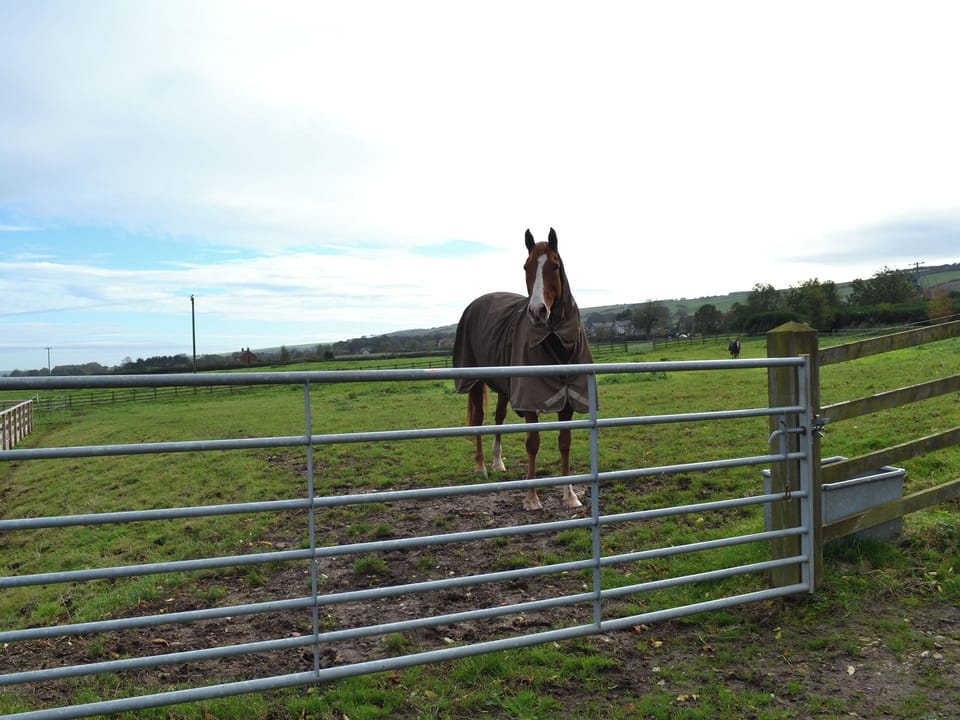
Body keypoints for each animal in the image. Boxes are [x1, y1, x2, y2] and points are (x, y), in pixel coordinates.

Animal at [452, 228, 594, 510]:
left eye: (555, 265)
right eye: (526, 267)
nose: (538, 312)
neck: (557, 345)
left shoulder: (569, 399)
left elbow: (565, 443)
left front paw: (569, 495)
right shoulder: (530, 401)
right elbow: (532, 444)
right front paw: (531, 497)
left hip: (505, 386)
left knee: (498, 418)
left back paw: (497, 462)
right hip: (474, 381)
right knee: (479, 419)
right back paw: (482, 467)